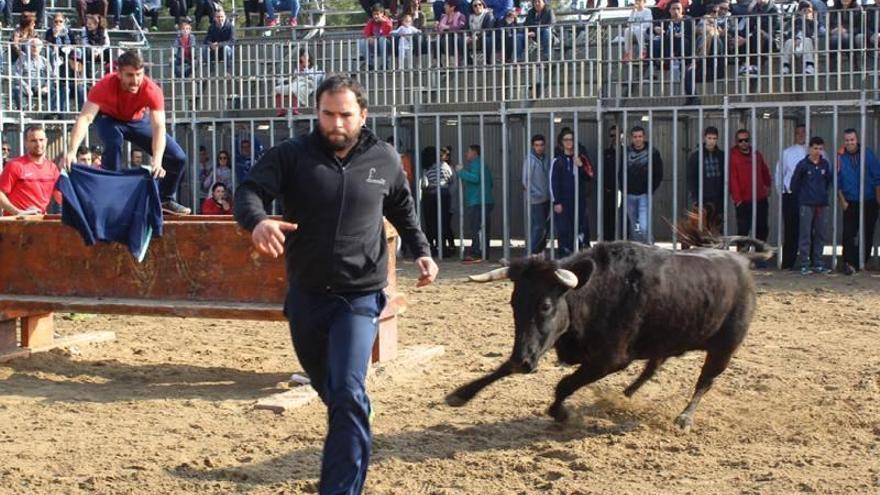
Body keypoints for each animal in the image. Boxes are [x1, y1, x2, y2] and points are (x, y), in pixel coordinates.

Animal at [446, 240, 768, 430]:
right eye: (514, 302)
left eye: (545, 304)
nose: (523, 362)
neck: (598, 291)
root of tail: (742, 259)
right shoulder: (545, 345)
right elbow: (503, 367)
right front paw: (460, 394)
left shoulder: (609, 360)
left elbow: (564, 384)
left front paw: (563, 414)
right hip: (665, 339)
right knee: (652, 368)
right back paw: (623, 396)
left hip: (725, 347)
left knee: (706, 380)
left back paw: (685, 418)